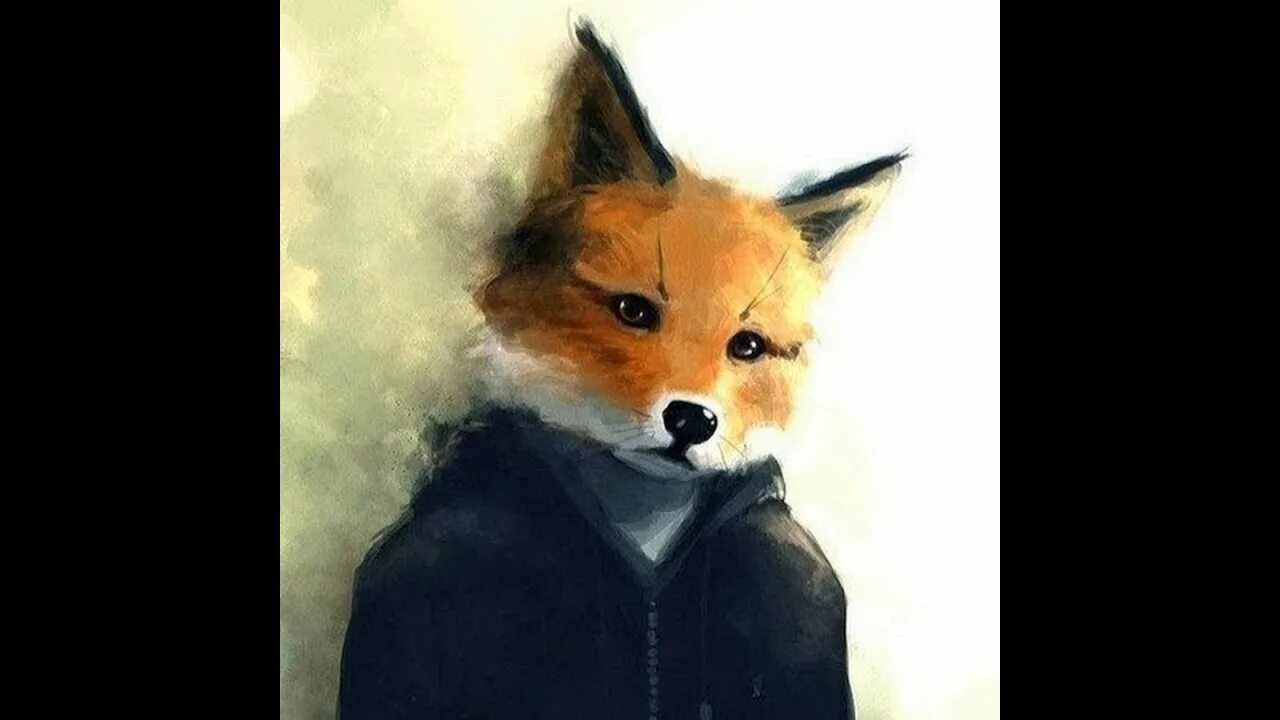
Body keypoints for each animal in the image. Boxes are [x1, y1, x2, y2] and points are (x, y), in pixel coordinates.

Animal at [339, 21, 902, 720]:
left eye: (747, 346)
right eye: (634, 310)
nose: (691, 420)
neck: (648, 556)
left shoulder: (801, 594)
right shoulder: (416, 579)